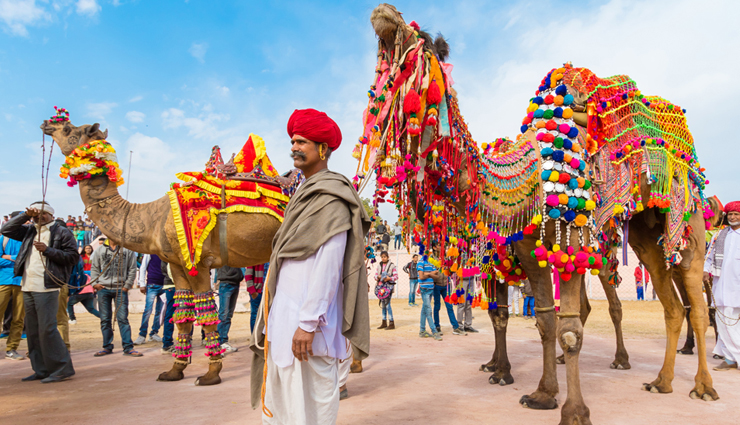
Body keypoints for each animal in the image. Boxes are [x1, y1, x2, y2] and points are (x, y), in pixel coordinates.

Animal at [40, 118, 283, 386]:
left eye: (69, 130)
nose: (48, 123)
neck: (151, 219)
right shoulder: (176, 264)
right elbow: (183, 316)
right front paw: (175, 371)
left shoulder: (199, 263)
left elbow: (207, 315)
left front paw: (211, 374)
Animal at [362, 4, 717, 424]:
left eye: (423, 44)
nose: (384, 14)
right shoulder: (527, 250)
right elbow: (543, 320)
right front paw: (542, 392)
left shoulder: (570, 237)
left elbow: (568, 329)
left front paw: (573, 411)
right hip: (645, 234)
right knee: (672, 305)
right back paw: (661, 381)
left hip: (683, 220)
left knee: (692, 303)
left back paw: (697, 385)